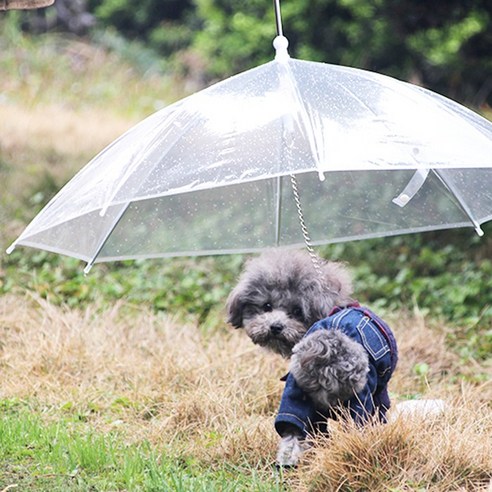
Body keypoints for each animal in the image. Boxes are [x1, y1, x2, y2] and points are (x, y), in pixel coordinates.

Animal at [227, 252, 400, 468]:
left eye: (297, 311)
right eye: (267, 306)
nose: (275, 327)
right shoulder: (379, 395)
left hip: (298, 393)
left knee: (294, 430)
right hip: (361, 401)